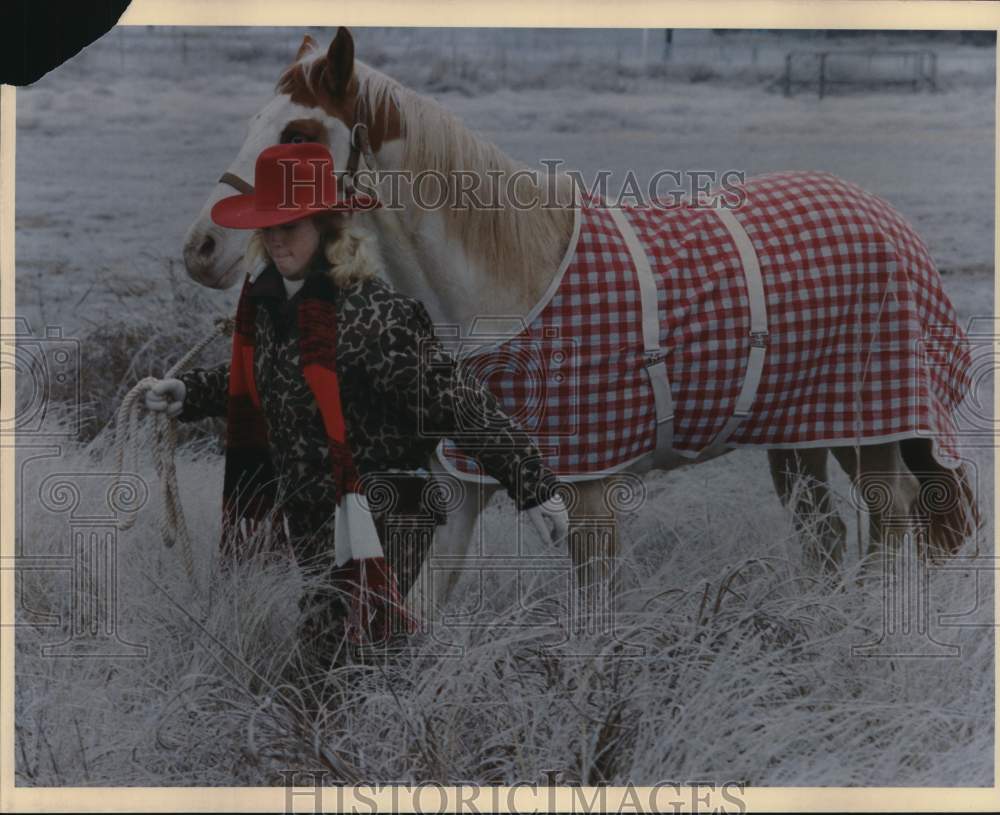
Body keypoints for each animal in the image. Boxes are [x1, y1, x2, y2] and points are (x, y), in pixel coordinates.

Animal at [181, 28, 980, 626]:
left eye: (298, 133)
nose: (203, 249)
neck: (506, 290)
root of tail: (888, 217)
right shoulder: (464, 486)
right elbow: (422, 613)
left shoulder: (590, 498)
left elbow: (592, 631)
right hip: (806, 433)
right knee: (829, 533)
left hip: (874, 424)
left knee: (893, 519)